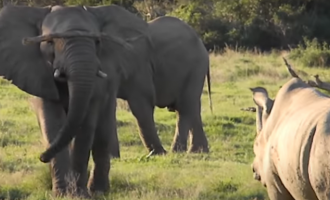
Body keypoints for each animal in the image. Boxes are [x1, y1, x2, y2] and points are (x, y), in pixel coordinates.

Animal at [0, 4, 153, 197]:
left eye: (97, 42)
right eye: (50, 42)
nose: (41, 157)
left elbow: (85, 125)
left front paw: (79, 194)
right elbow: (52, 122)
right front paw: (62, 194)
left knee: (103, 131)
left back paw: (99, 192)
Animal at [112, 16, 213, 158]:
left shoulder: (138, 64)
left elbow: (141, 103)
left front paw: (157, 155)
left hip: (195, 68)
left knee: (185, 106)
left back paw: (177, 152)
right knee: (192, 106)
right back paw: (197, 151)